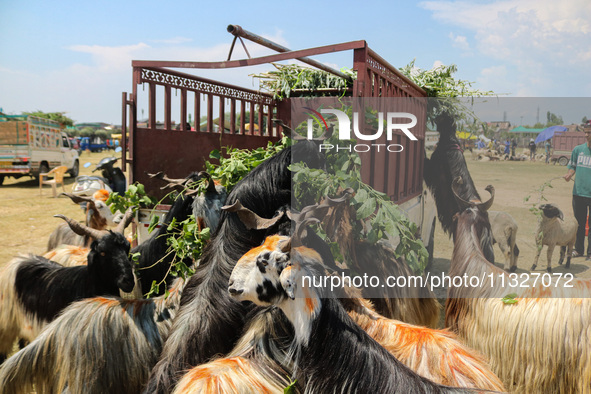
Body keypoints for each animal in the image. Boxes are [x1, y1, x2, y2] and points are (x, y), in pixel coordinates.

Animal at [0, 209, 135, 364]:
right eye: (102, 252)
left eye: (127, 249)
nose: (128, 281)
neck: (85, 284)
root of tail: (17, 260)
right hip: (5, 329)